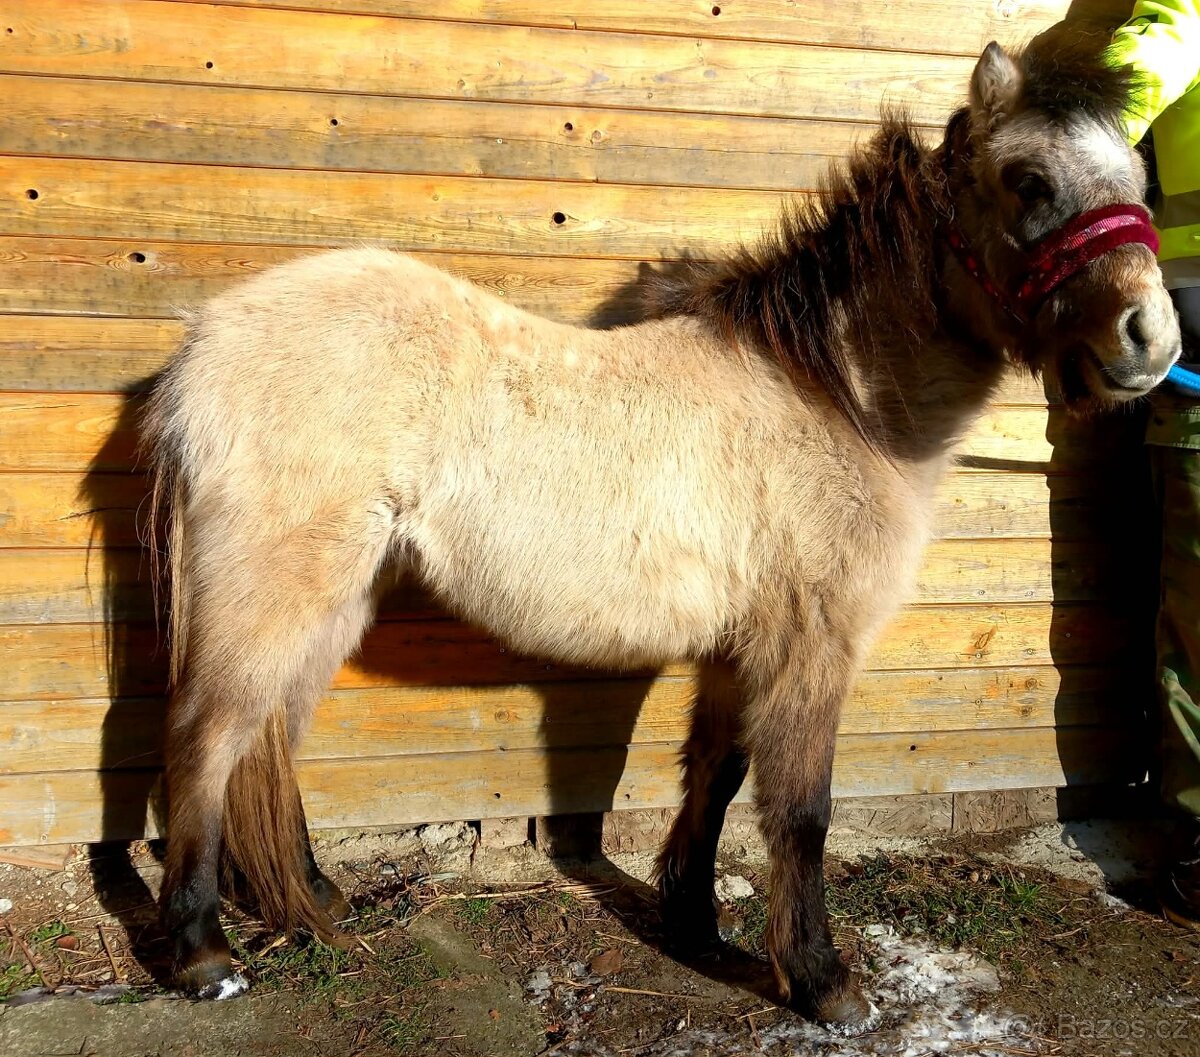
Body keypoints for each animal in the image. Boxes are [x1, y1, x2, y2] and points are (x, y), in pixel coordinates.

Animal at [140, 28, 1180, 1025]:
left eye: (1137, 186)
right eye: (1028, 180)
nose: (1151, 341)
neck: (833, 396)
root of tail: (203, 346)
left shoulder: (740, 646)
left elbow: (715, 772)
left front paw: (694, 923)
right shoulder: (813, 644)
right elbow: (801, 809)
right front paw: (822, 981)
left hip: (335, 597)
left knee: (268, 735)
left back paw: (316, 897)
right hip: (279, 589)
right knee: (206, 736)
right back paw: (202, 955)